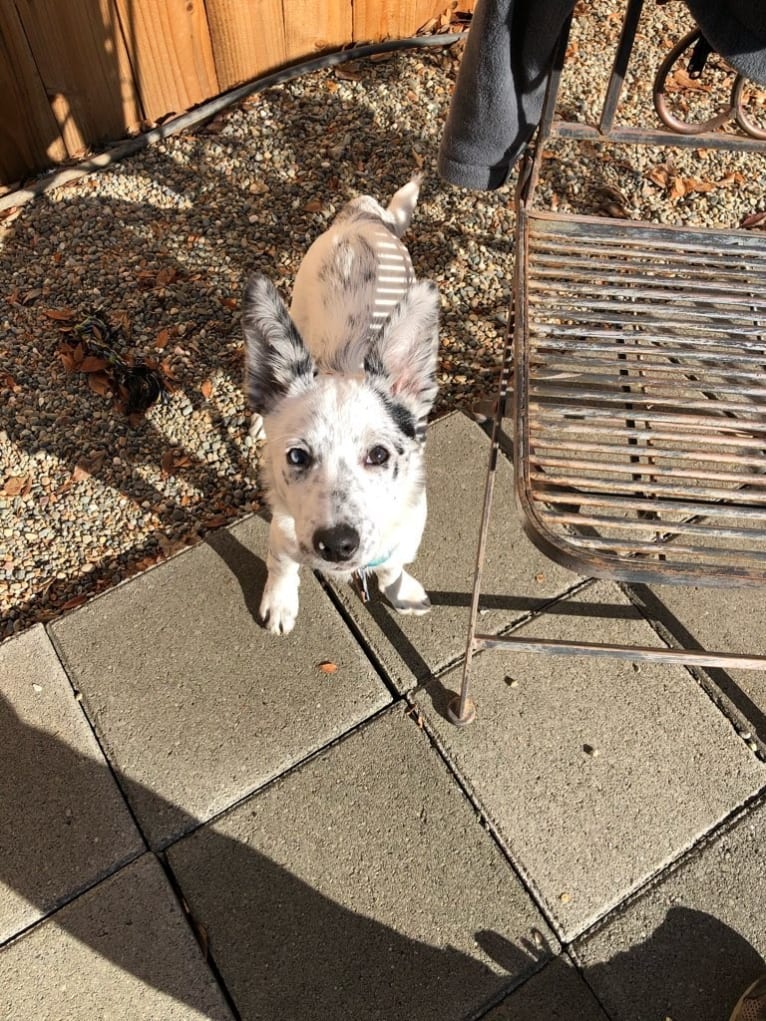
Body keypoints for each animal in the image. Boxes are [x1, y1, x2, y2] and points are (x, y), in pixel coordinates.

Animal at [243, 179, 441, 633]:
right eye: (297, 456)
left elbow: (392, 566)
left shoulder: (405, 533)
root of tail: (361, 217)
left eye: (379, 455)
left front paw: (401, 592)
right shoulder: (284, 528)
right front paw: (280, 603)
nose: (337, 545)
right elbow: (281, 563)